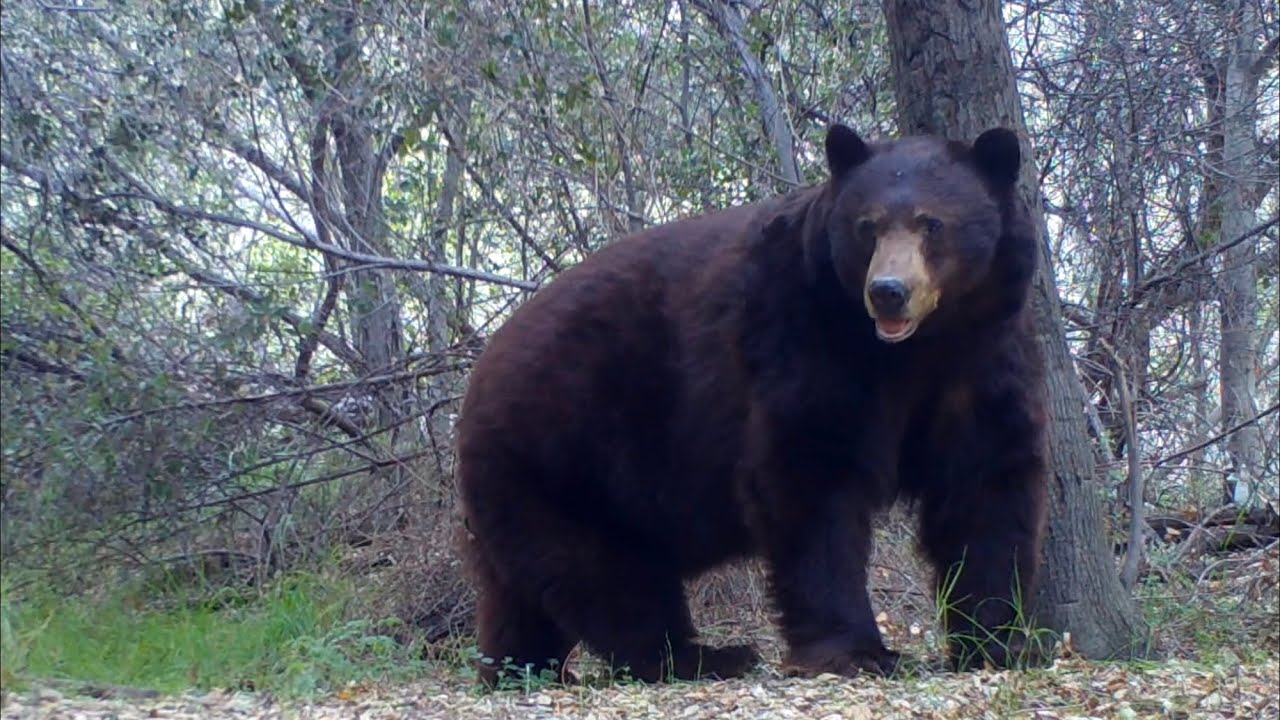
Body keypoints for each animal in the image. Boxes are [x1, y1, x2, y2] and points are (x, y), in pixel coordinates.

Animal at [454, 123, 1049, 689]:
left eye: (932, 224)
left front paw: (998, 642)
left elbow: (985, 484)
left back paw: (520, 666)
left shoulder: (984, 359)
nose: (887, 291)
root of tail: (478, 377)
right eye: (868, 226)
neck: (915, 349)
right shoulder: (801, 333)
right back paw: (704, 655)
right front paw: (856, 651)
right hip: (570, 457)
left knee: (523, 591)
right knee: (609, 575)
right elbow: (812, 478)